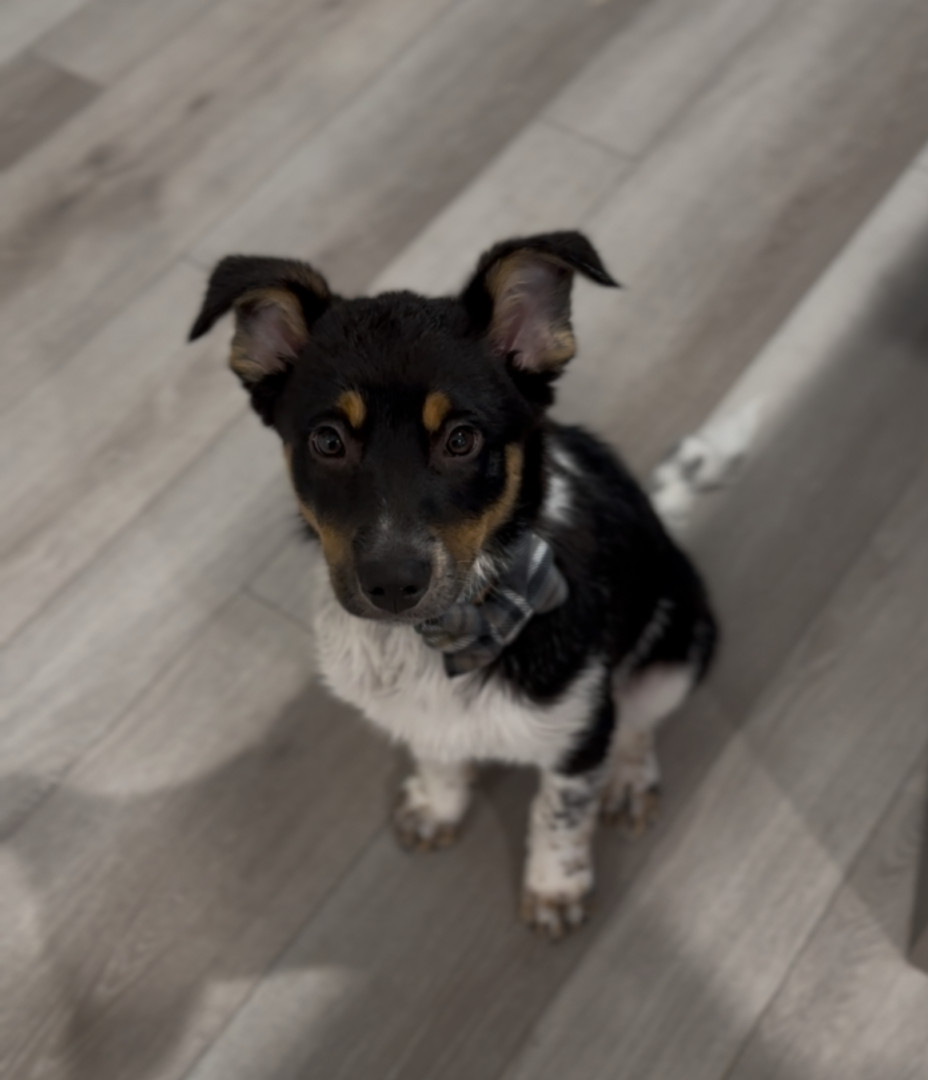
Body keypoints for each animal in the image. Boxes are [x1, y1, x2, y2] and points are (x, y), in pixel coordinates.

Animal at [189, 231, 718, 939]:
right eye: (327, 441)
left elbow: (559, 812)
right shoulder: (415, 712)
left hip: (680, 647)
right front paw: (439, 805)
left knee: (640, 719)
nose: (391, 584)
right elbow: (437, 752)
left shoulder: (581, 729)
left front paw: (554, 887)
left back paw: (630, 781)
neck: (450, 628)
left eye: (462, 439)